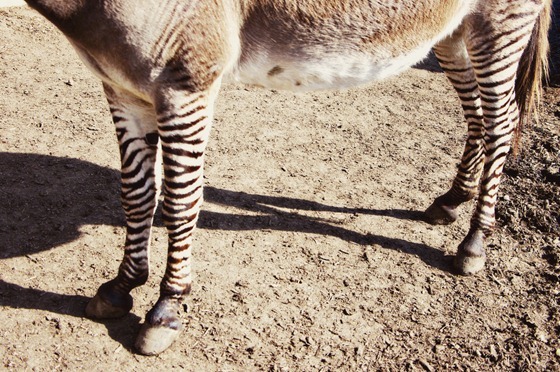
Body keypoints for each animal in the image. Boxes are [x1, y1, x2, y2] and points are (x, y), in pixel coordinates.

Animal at [20, 0, 552, 354]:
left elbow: (180, 203)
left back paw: (475, 242)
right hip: (453, 31)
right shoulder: (121, 87)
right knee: (479, 117)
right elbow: (135, 196)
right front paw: (123, 285)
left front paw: (167, 309)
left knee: (502, 123)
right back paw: (452, 200)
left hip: (499, 23)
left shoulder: (186, 84)